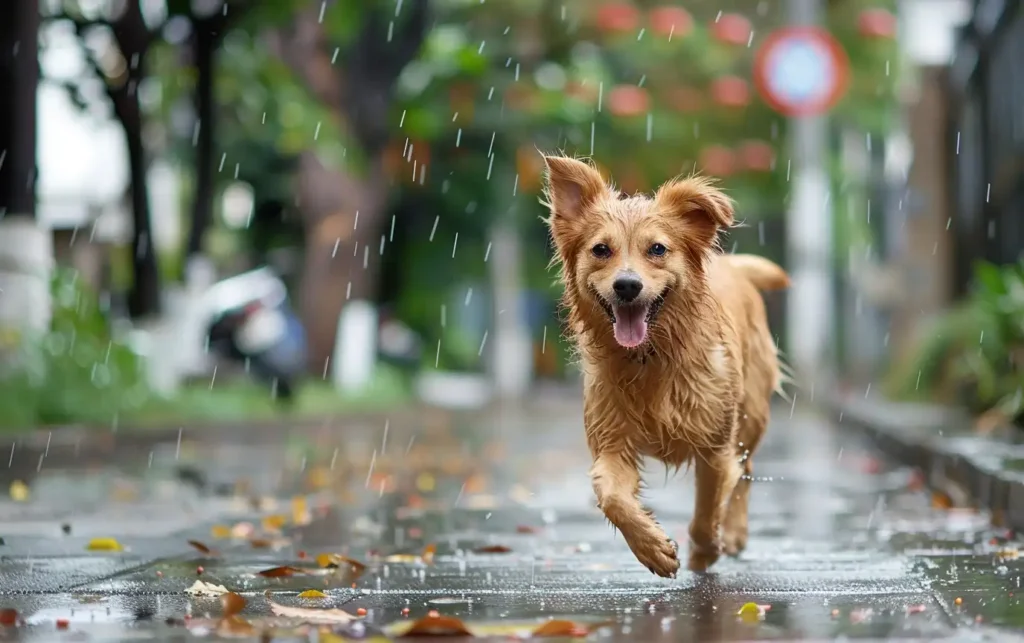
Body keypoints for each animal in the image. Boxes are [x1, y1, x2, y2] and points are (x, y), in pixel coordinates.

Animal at [544, 155, 790, 577]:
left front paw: (706, 551)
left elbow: (707, 510)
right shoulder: (611, 442)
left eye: (657, 248)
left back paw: (734, 534)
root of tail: (734, 267)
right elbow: (612, 497)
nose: (627, 285)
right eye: (601, 249)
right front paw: (653, 548)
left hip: (752, 417)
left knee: (746, 470)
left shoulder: (715, 445)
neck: (650, 358)